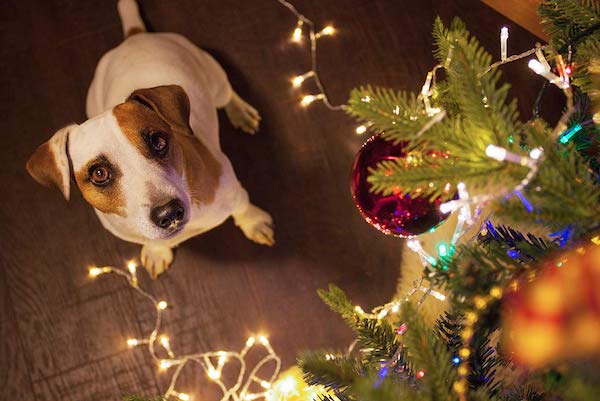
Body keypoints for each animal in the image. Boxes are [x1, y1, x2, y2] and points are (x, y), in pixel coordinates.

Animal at [25, 0, 274, 276]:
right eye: (99, 174)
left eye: (158, 141)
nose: (169, 211)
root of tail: (135, 37)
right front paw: (157, 251)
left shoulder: (233, 190)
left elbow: (243, 207)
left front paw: (254, 223)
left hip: (213, 75)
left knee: (227, 93)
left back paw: (241, 112)